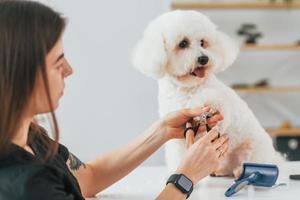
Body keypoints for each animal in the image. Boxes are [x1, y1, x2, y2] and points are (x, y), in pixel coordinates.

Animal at [132, 10, 280, 177]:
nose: (204, 58)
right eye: (183, 43)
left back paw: (240, 170)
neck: (187, 88)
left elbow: (210, 99)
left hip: (252, 150)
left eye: (203, 42)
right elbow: (179, 156)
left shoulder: (218, 117)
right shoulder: (178, 136)